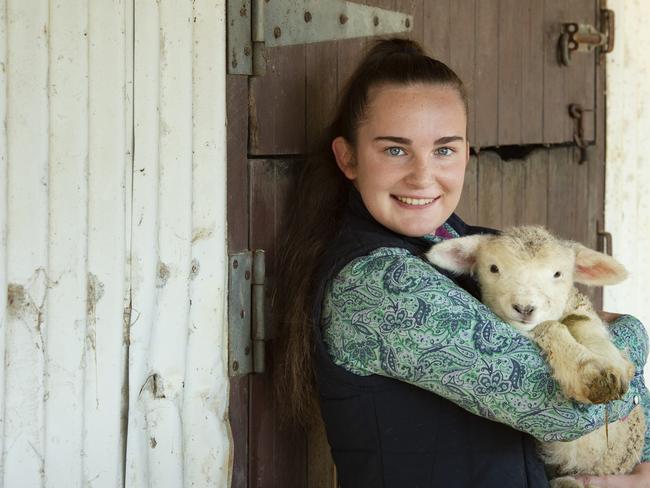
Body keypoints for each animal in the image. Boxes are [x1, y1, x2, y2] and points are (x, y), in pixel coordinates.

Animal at [426, 227, 644, 488]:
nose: (524, 308)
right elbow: (551, 326)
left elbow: (581, 321)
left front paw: (609, 365)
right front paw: (589, 372)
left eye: (558, 274)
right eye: (493, 268)